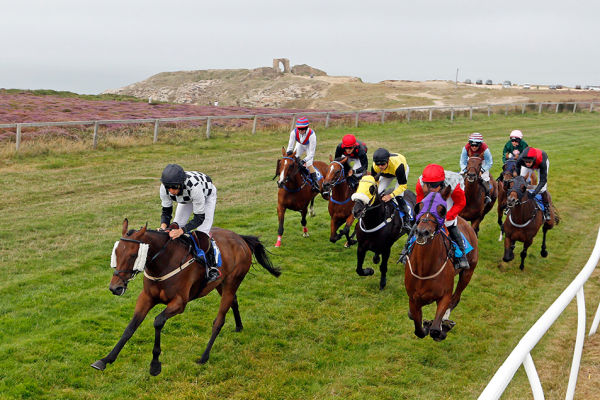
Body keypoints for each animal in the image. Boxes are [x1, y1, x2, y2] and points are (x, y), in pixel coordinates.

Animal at [92, 219, 282, 376]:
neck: (163, 262)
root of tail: (240, 238)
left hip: (231, 282)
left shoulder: (179, 303)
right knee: (234, 301)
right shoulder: (146, 298)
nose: (115, 287)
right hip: (220, 284)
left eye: (133, 255)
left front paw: (155, 365)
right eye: (116, 253)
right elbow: (130, 328)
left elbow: (158, 321)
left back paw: (204, 356)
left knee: (219, 320)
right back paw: (239, 327)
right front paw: (105, 360)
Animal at [404, 191, 478, 340]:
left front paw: (440, 327)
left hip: (468, 272)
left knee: (456, 298)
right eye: (419, 207)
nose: (423, 232)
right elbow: (418, 330)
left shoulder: (444, 296)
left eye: (442, 210)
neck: (424, 270)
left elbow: (435, 330)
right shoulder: (413, 299)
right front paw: (425, 324)